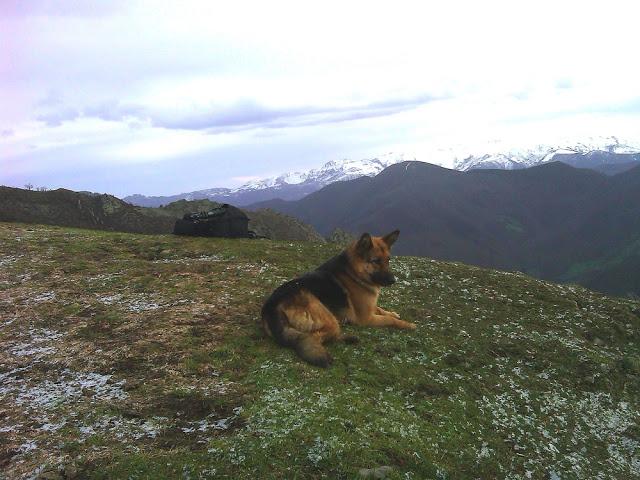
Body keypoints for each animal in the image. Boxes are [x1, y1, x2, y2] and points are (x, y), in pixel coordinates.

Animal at [260, 231, 416, 366]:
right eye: (375, 261)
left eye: (388, 260)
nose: (393, 280)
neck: (354, 272)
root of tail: (271, 307)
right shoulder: (366, 318)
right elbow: (390, 320)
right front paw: (408, 325)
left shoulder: (370, 308)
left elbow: (381, 309)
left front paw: (393, 313)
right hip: (328, 317)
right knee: (315, 337)